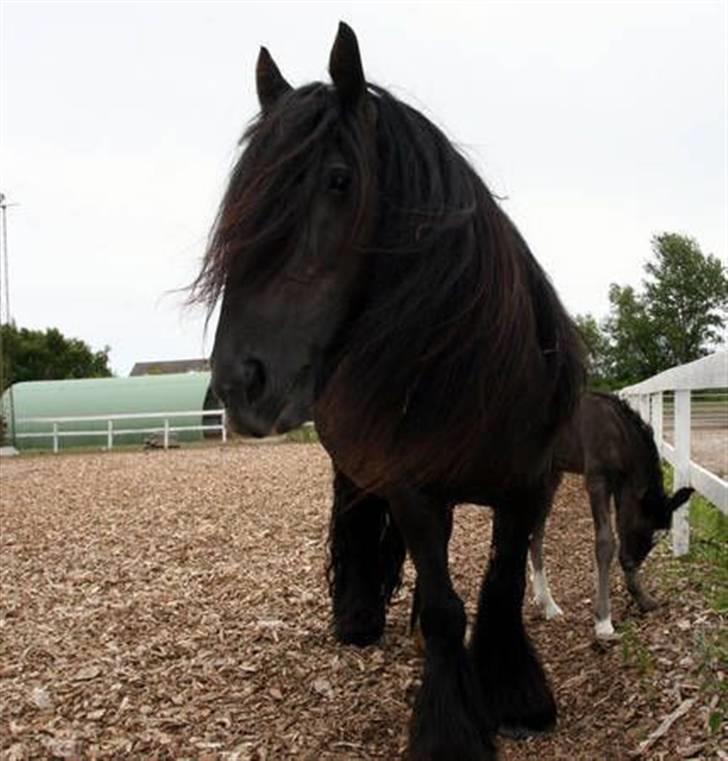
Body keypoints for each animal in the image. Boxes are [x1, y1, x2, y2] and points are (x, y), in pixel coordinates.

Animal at [198, 23, 584, 760]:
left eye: (339, 180)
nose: (239, 382)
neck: (478, 375)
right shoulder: (409, 488)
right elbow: (443, 607)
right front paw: (450, 729)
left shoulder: (528, 484)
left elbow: (501, 584)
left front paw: (516, 694)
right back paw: (360, 614)